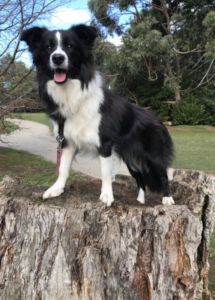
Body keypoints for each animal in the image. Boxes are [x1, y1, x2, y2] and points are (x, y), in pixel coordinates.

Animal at [20, 24, 175, 206]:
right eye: (48, 47)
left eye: (70, 46)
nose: (57, 58)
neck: (72, 94)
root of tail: (157, 118)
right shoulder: (67, 141)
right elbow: (63, 168)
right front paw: (56, 189)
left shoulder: (105, 144)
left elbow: (105, 172)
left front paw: (107, 195)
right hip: (130, 159)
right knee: (140, 179)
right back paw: (140, 202)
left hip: (153, 154)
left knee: (163, 175)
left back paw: (167, 198)